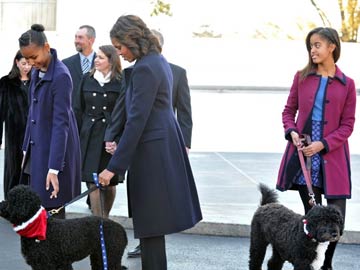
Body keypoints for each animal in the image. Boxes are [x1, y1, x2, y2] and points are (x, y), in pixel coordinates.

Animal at [0, 186, 128, 270]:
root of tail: (121, 229)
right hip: (99, 257)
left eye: (11, 200)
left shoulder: (48, 264)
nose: (0, 205)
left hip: (110, 257)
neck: (37, 226)